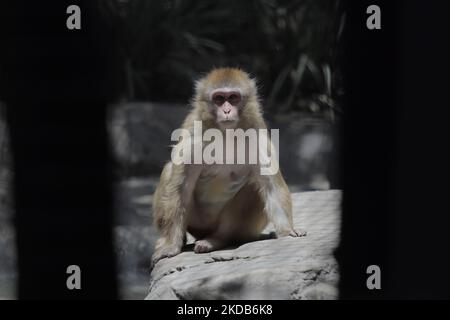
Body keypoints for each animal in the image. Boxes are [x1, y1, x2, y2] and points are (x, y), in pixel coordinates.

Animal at [151, 68, 306, 268]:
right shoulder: (194, 135)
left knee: (253, 187)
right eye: (219, 99)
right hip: (196, 222)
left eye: (233, 98)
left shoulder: (257, 134)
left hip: (241, 228)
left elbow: (271, 184)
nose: (226, 110)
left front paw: (287, 230)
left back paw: (217, 240)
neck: (226, 133)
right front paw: (171, 245)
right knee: (169, 171)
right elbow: (180, 186)